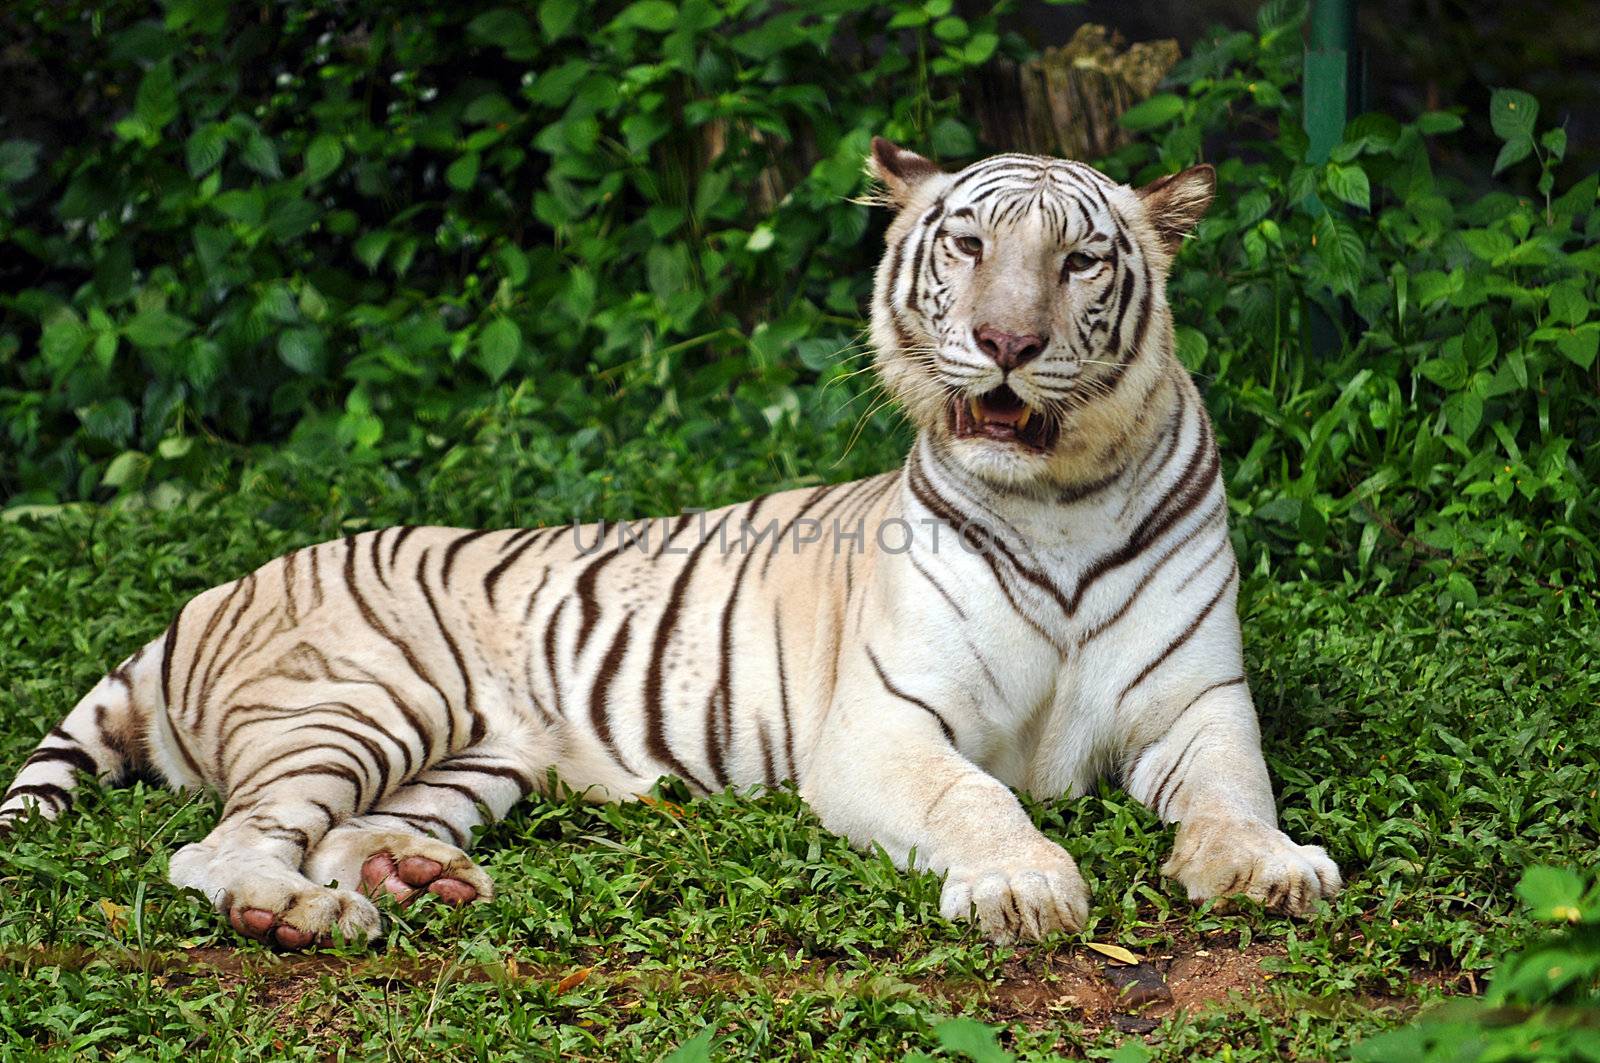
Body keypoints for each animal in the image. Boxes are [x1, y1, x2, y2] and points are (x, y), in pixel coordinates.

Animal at [3, 140, 1337, 947]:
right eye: (967, 247)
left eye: (1080, 258)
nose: (1006, 343)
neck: (1058, 496)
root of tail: (207, 593)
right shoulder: (884, 724)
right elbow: (975, 797)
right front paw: (1021, 884)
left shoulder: (1200, 703)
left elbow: (1235, 793)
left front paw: (1269, 868)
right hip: (357, 701)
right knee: (219, 845)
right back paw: (301, 917)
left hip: (467, 760)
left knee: (342, 831)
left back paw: (407, 881)